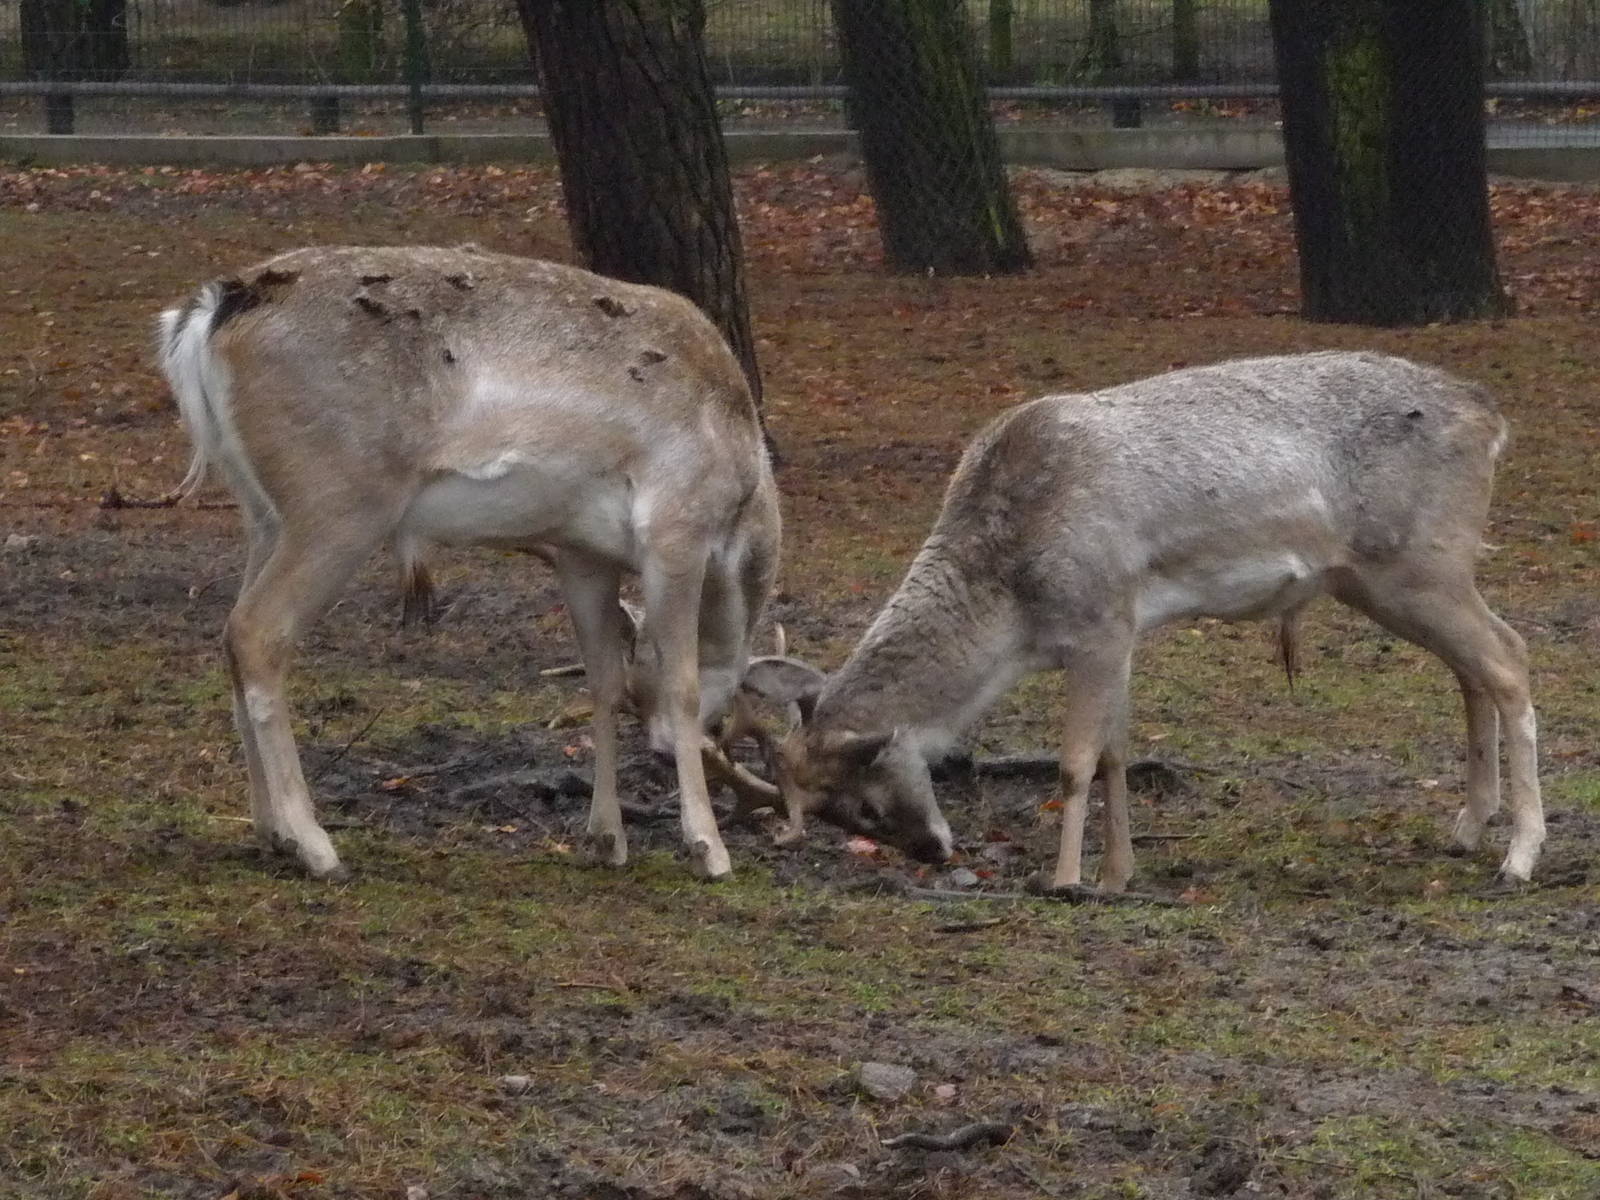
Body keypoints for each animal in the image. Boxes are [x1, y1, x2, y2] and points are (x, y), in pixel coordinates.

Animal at [158, 244, 782, 883]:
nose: (657, 747)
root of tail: (211, 312)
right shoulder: (675, 526)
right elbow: (682, 685)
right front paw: (709, 848)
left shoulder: (583, 552)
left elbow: (603, 680)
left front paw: (607, 838)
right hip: (338, 504)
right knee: (258, 631)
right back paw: (314, 845)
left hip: (261, 511)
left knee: (230, 633)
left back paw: (269, 831)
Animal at [742, 351, 1544, 890]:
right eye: (837, 816)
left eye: (865, 806)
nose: (936, 852)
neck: (1011, 614)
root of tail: (1493, 418)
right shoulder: (1122, 630)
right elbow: (1116, 753)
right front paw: (1118, 874)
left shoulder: (1100, 617)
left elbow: (1075, 760)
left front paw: (1065, 879)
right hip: (1385, 581)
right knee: (1471, 669)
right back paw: (1466, 830)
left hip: (1422, 562)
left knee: (1509, 657)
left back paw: (1519, 855)